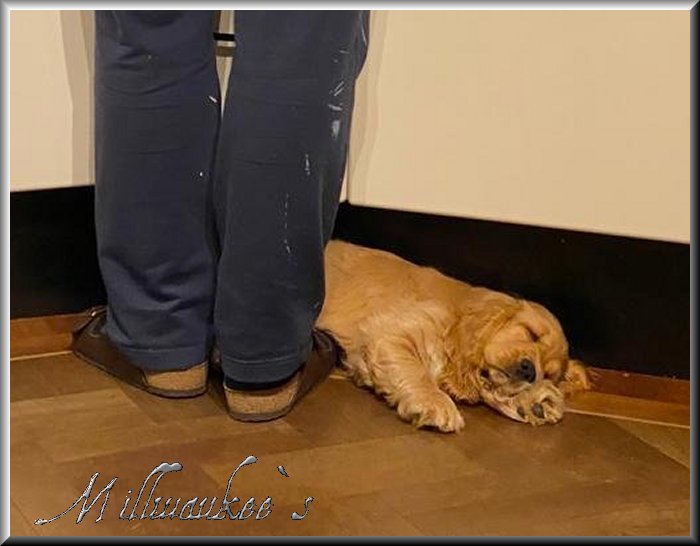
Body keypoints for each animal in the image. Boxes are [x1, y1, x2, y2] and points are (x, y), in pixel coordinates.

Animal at [317, 240, 590, 432]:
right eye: (531, 333)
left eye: (549, 374)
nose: (529, 370)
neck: (458, 317)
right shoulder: (389, 334)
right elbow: (415, 370)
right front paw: (435, 403)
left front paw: (537, 402)